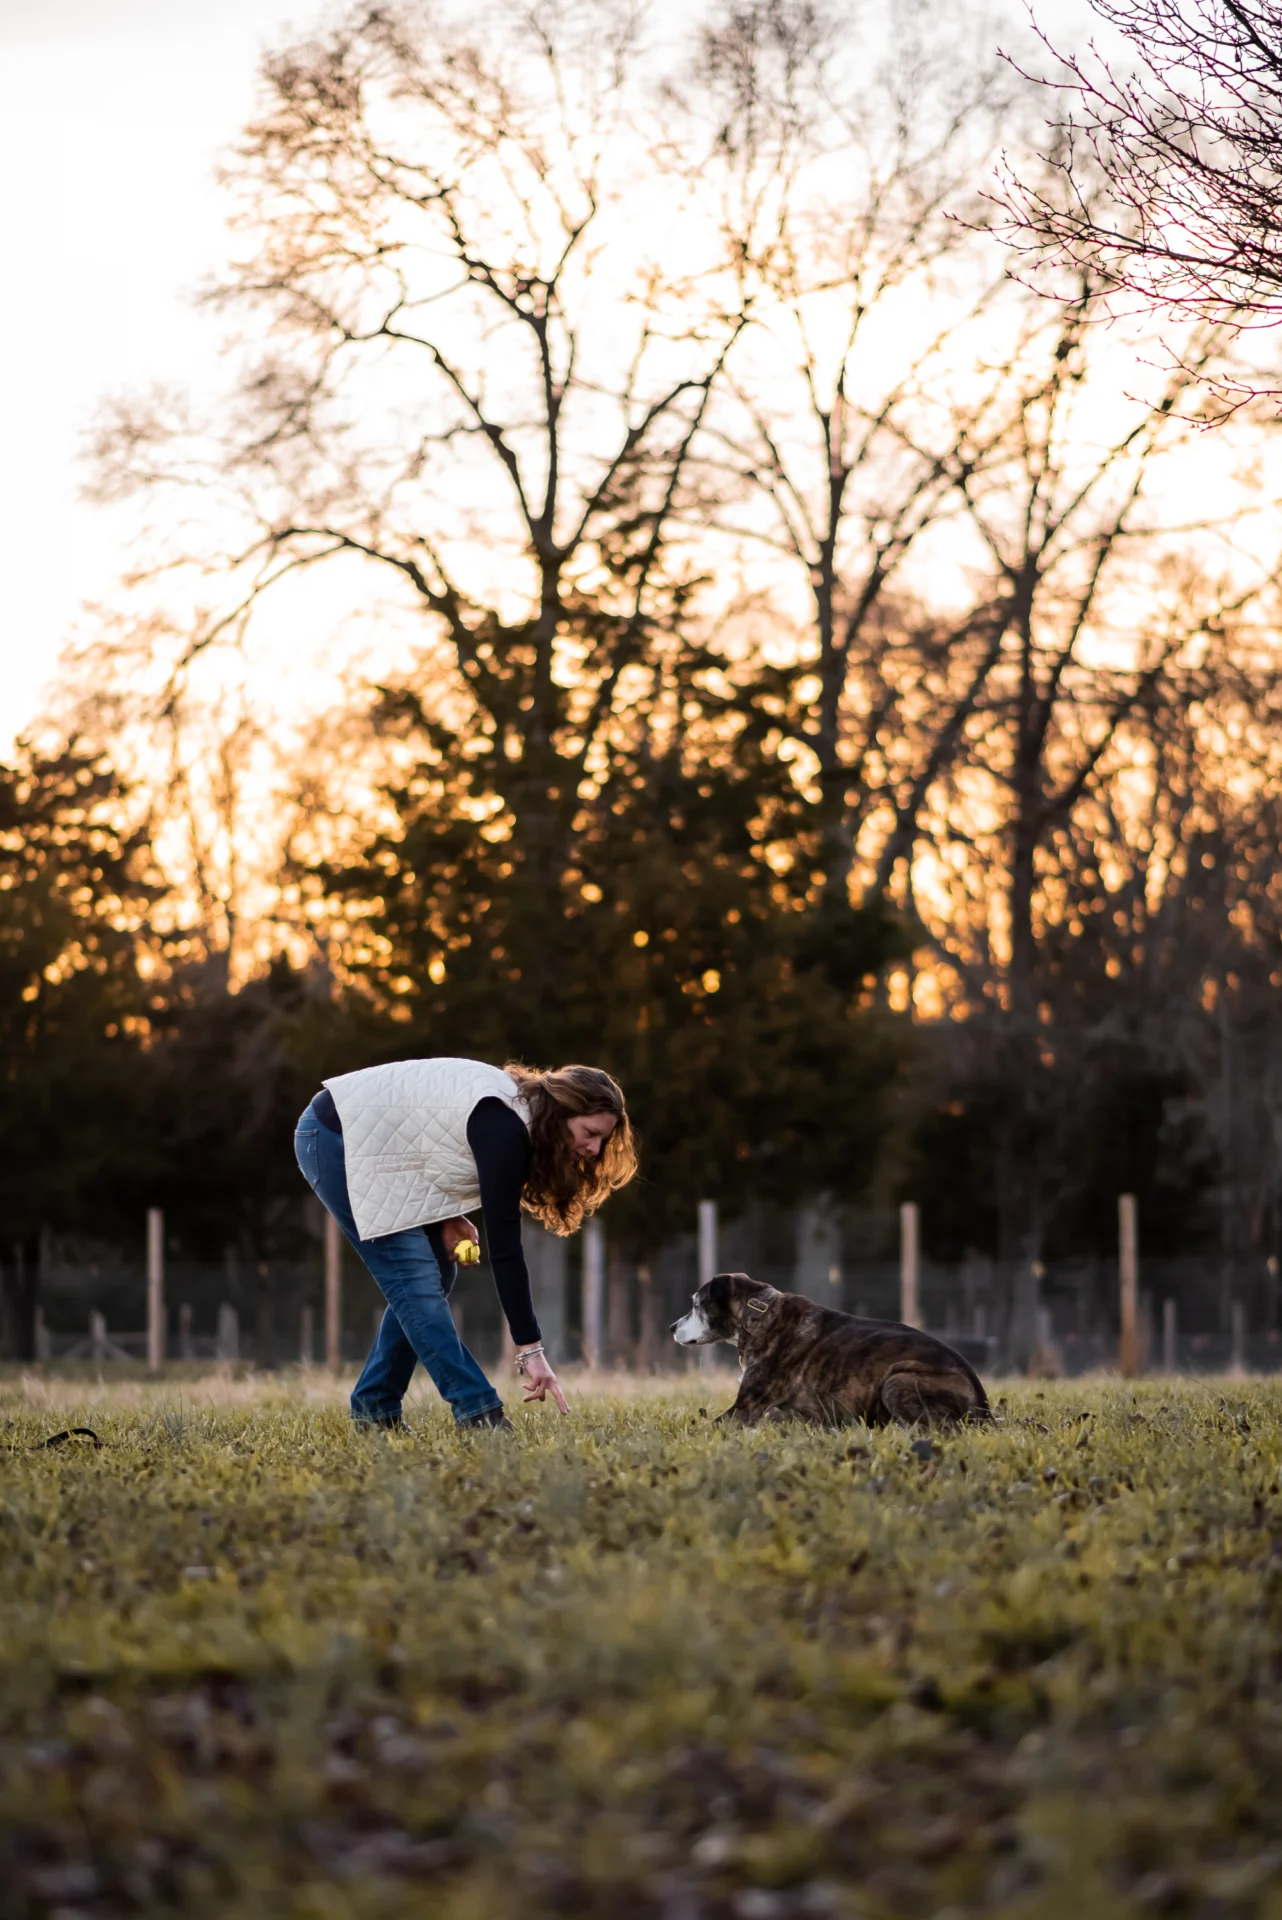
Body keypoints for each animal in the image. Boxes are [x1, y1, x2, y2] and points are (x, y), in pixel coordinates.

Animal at [671, 1274, 990, 1428]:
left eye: (696, 1305)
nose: (672, 1327)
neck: (758, 1314)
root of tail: (983, 1404)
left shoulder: (744, 1409)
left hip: (896, 1380)